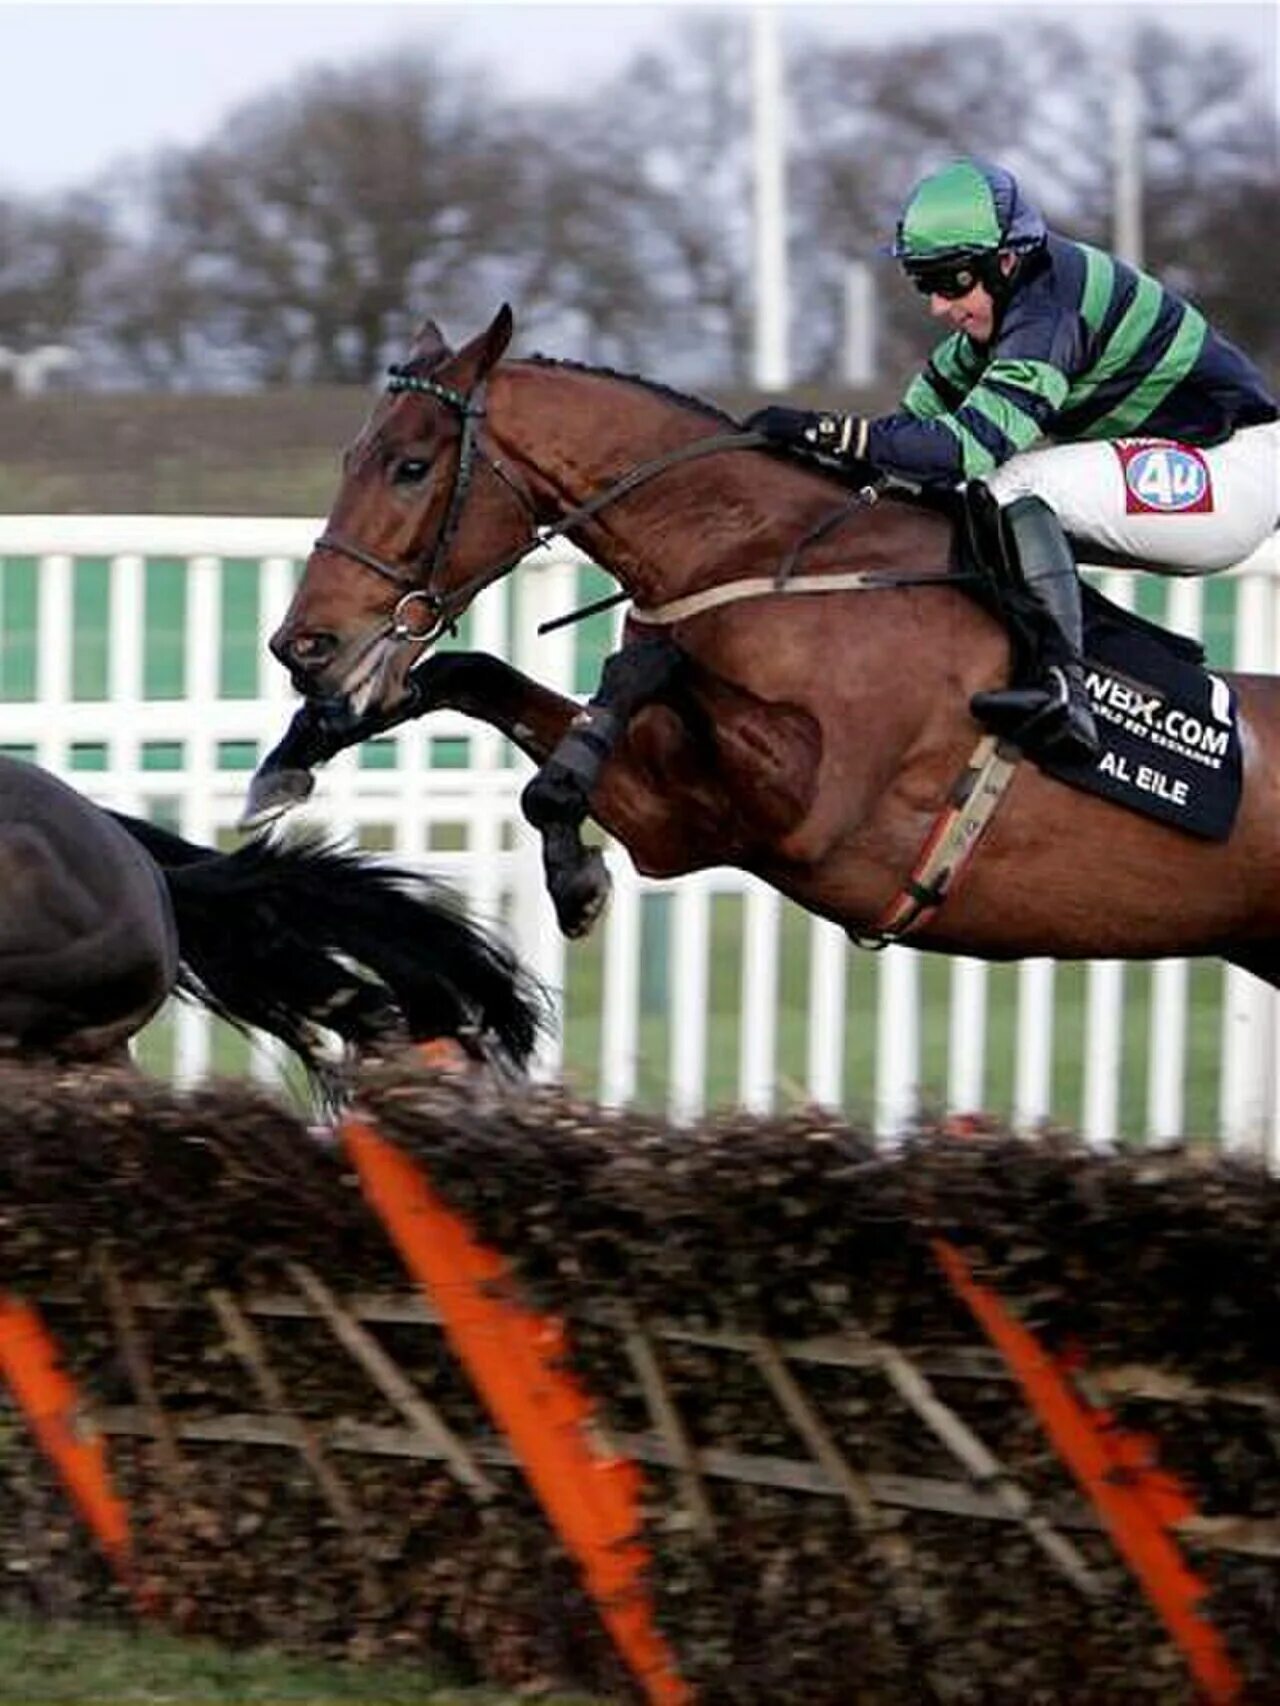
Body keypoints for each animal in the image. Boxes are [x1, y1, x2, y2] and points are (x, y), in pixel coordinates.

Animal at [257, 307, 1280, 989]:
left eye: (411, 465)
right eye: (351, 458)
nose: (303, 644)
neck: (772, 558)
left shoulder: (817, 808)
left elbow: (646, 666)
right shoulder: (684, 820)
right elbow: (477, 676)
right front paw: (302, 747)